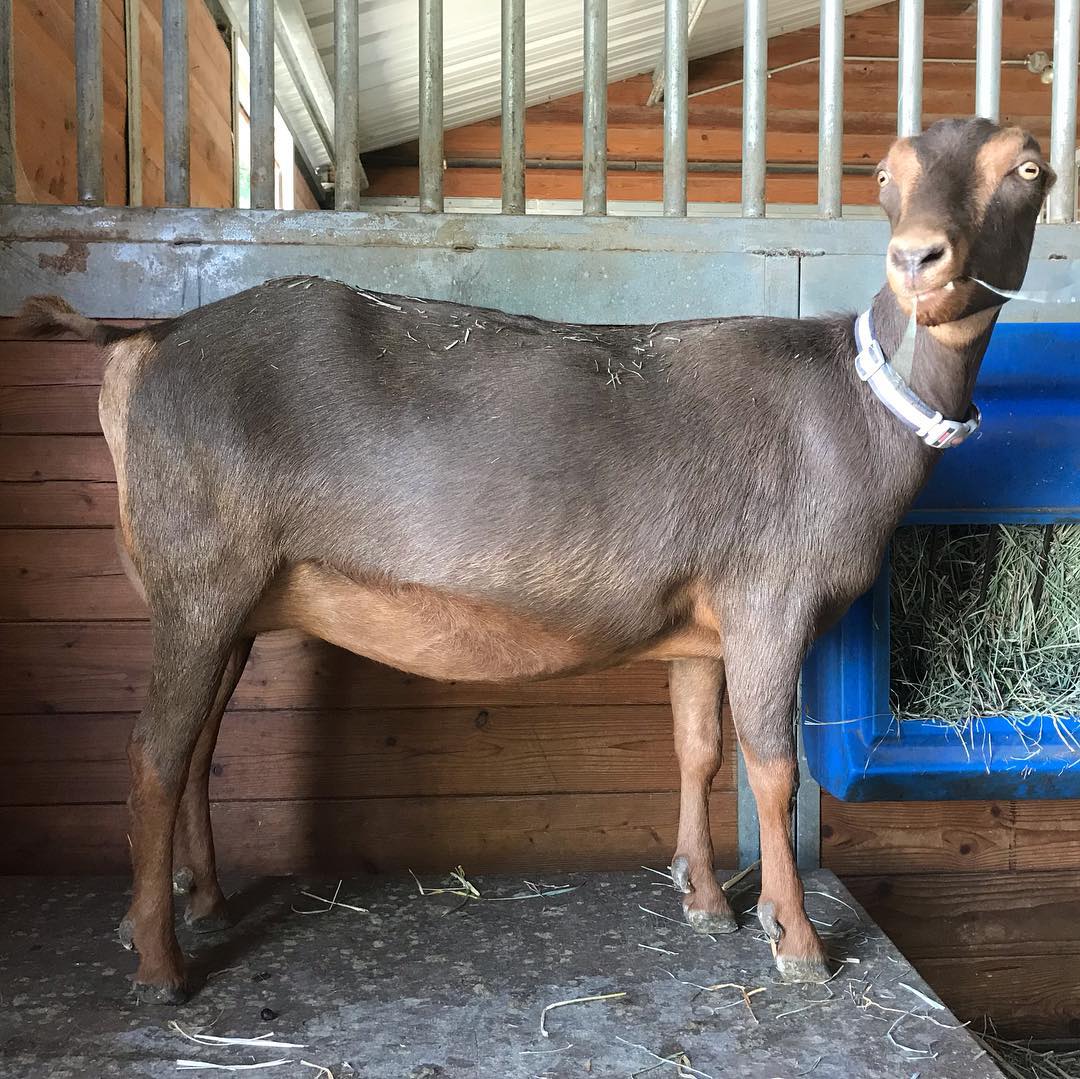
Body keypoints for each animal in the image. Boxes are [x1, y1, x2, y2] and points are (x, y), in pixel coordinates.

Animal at [18, 117, 1053, 1003]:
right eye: (881, 174)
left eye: (1028, 168)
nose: (919, 259)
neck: (857, 408)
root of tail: (144, 341)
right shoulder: (772, 597)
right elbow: (772, 767)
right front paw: (794, 940)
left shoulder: (701, 625)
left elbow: (698, 748)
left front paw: (703, 899)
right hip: (201, 578)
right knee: (153, 753)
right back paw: (159, 962)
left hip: (224, 601)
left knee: (195, 748)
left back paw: (197, 902)